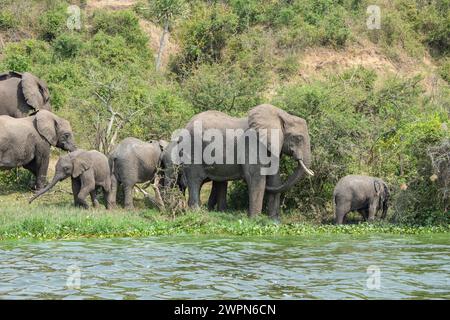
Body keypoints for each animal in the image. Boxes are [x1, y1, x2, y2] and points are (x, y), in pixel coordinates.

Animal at [175, 104, 312, 218]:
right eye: (298, 138)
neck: (282, 116)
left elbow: (275, 180)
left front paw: (274, 222)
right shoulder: (252, 145)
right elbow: (256, 178)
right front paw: (255, 220)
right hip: (192, 148)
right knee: (195, 179)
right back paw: (197, 213)